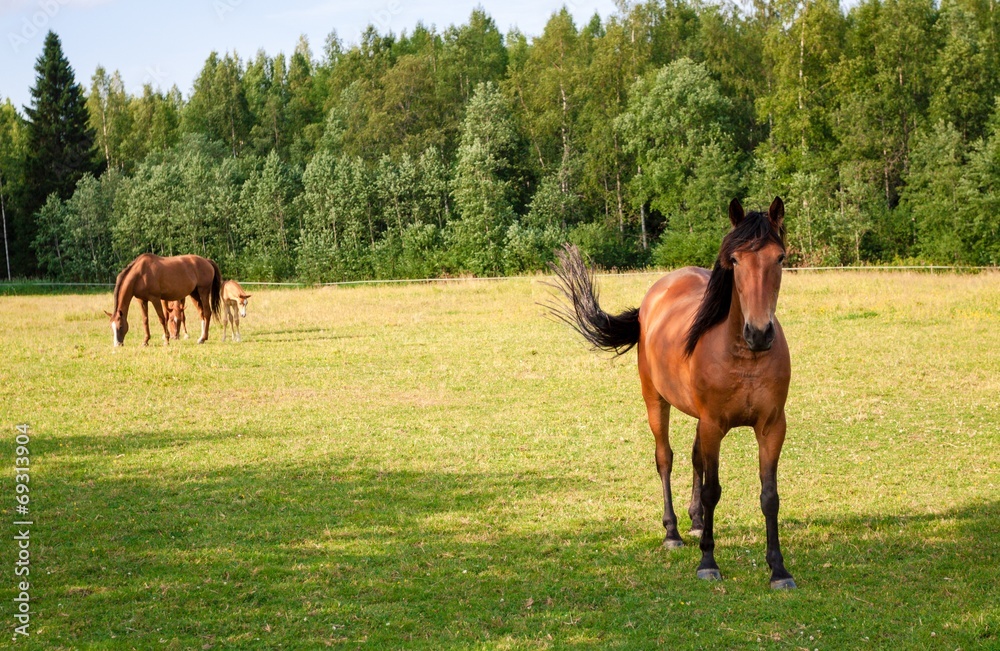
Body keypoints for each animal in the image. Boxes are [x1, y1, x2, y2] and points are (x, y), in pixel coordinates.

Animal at [548, 197, 795, 590]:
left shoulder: (772, 427)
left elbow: (769, 496)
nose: (759, 333)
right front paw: (708, 562)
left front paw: (779, 569)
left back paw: (695, 522)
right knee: (665, 458)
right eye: (735, 260)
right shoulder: (713, 425)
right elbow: (712, 491)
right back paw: (674, 532)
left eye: (780, 257)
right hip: (656, 400)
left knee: (695, 460)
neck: (746, 357)